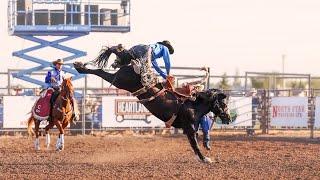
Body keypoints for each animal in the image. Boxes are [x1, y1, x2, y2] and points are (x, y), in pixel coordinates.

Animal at [74, 45, 231, 162]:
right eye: (224, 104)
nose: (229, 118)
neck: (193, 105)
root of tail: (135, 65)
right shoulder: (189, 129)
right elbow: (195, 145)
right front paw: (205, 159)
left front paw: (206, 147)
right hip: (121, 81)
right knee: (101, 71)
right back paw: (80, 67)